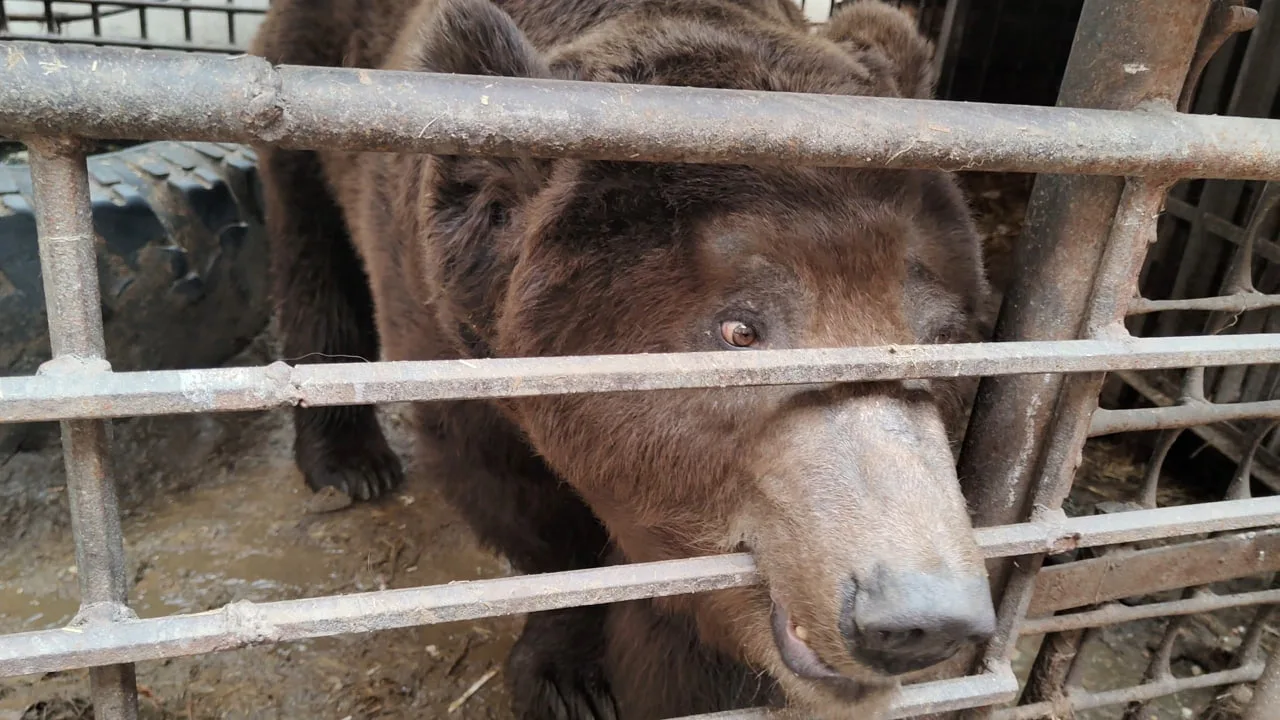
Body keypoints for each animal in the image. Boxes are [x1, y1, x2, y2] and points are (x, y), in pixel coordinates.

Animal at [248, 1, 998, 718]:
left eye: (941, 338)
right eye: (740, 330)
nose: (921, 617)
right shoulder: (446, 329)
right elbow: (526, 510)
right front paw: (570, 679)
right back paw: (351, 463)